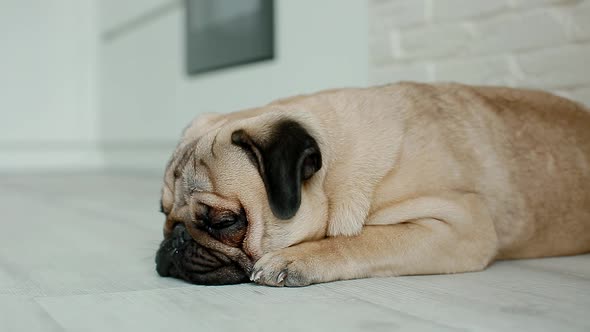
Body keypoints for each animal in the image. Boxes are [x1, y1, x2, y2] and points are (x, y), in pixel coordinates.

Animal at [155, 81, 588, 286]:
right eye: (163, 215)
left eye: (225, 222)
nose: (175, 239)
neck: (335, 170)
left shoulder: (463, 224)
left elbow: (363, 240)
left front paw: (295, 259)